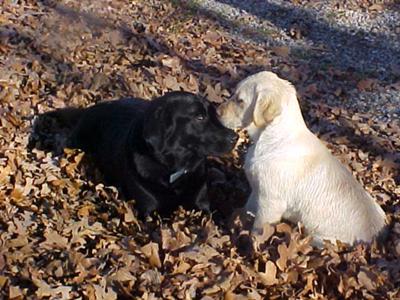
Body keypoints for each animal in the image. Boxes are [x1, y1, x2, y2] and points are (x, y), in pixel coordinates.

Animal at [38, 91, 238, 216]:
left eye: (214, 115)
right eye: (199, 117)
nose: (235, 137)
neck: (172, 170)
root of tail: (89, 109)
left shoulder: (202, 206)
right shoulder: (150, 212)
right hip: (78, 139)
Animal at [219, 71, 388, 246]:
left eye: (240, 100)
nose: (217, 111)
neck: (271, 135)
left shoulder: (271, 201)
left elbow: (258, 229)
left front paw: (252, 245)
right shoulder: (257, 191)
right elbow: (247, 209)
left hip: (318, 237)